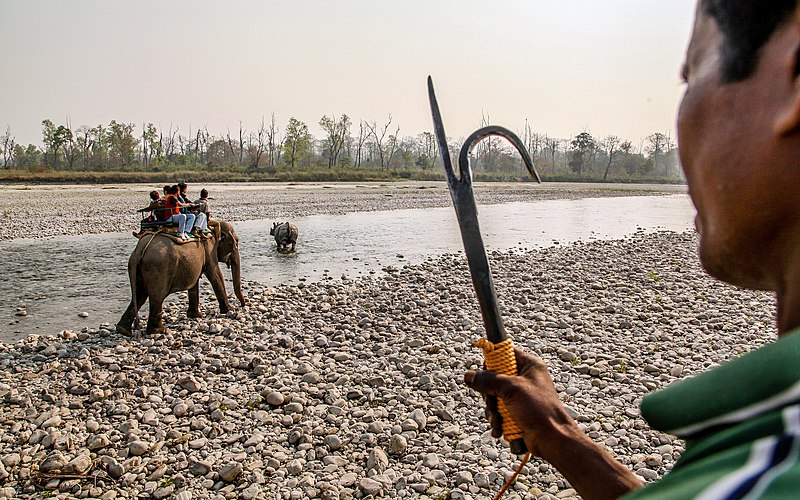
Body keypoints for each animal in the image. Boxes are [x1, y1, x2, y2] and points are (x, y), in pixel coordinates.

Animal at [116, 220, 244, 334]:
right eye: (236, 242)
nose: (243, 305)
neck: (215, 224)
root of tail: (140, 249)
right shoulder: (209, 249)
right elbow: (215, 275)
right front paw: (229, 311)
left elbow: (195, 282)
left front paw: (196, 316)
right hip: (158, 268)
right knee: (156, 298)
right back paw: (160, 331)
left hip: (138, 268)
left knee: (139, 295)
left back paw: (123, 330)